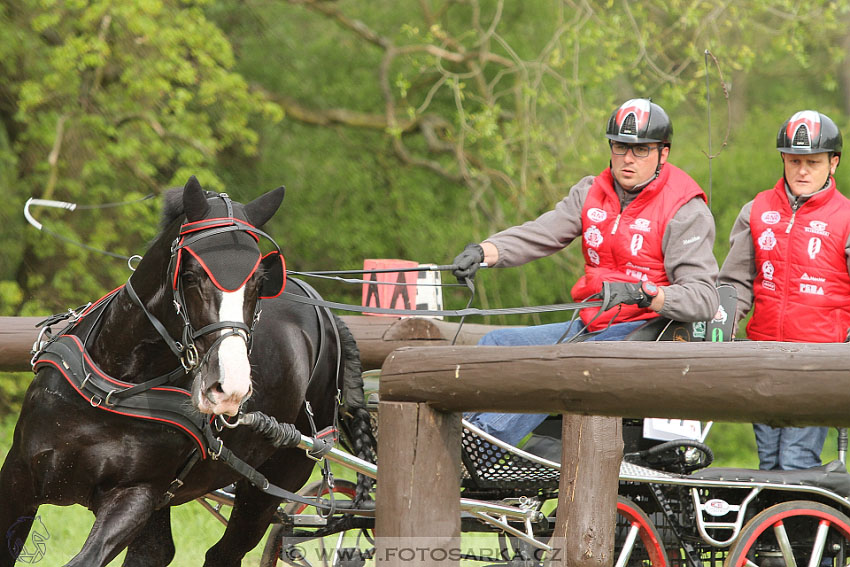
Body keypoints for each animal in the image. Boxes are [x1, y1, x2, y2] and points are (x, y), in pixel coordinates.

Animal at [0, 175, 372, 564]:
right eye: (191, 276)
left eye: (258, 282)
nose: (230, 387)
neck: (118, 387)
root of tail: (328, 315)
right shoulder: (17, 476)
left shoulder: (136, 495)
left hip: (274, 482)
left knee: (224, 552)